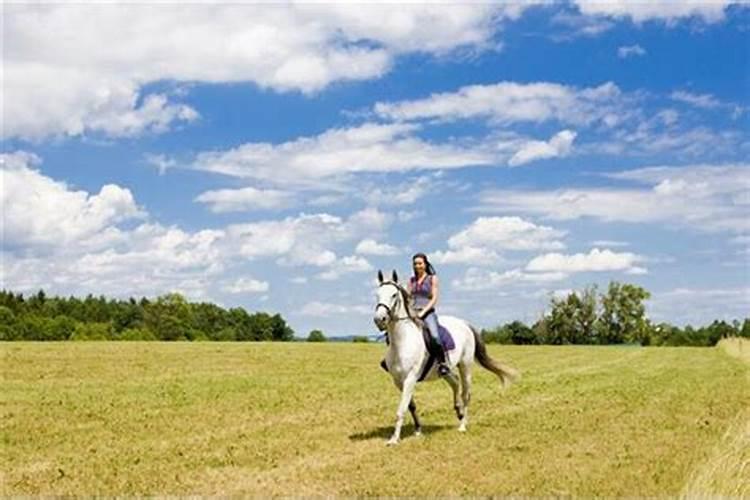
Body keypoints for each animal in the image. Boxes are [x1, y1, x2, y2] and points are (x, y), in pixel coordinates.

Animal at [374, 270, 520, 446]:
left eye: (394, 295)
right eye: (377, 294)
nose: (379, 319)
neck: (402, 341)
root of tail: (464, 324)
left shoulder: (410, 379)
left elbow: (401, 409)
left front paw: (394, 439)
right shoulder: (398, 381)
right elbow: (410, 406)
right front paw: (418, 430)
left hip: (466, 366)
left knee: (466, 393)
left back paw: (463, 425)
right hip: (445, 369)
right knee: (455, 382)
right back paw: (458, 411)